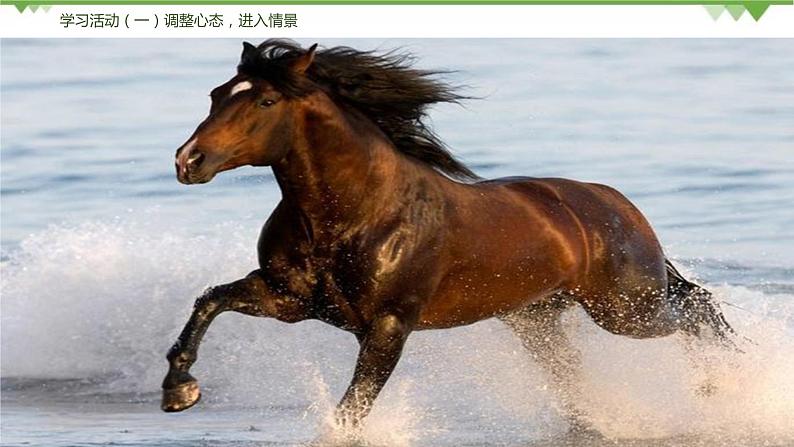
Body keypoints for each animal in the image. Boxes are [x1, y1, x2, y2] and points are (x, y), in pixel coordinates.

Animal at [161, 39, 735, 432]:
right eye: (216, 95)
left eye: (264, 103)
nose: (188, 161)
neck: (357, 214)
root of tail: (617, 203)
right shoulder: (289, 300)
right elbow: (210, 301)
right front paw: (179, 390)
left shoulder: (389, 325)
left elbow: (353, 407)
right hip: (538, 319)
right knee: (577, 368)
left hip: (625, 309)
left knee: (698, 310)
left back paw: (718, 388)